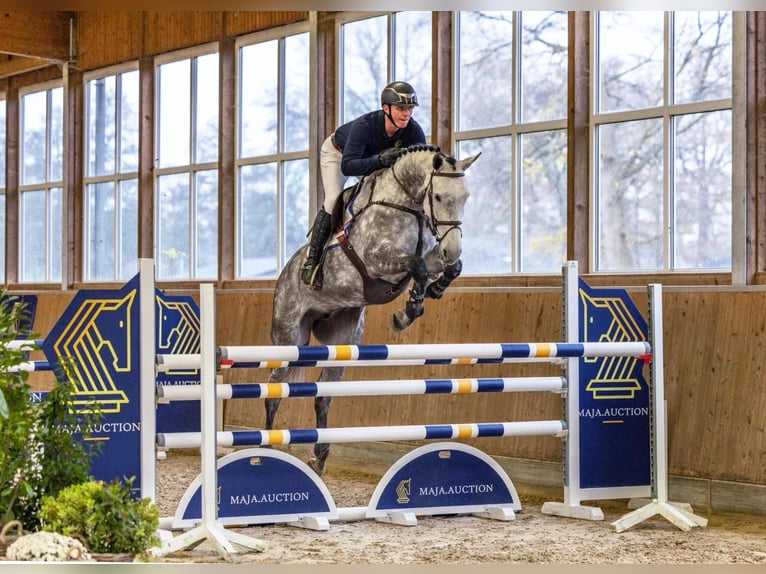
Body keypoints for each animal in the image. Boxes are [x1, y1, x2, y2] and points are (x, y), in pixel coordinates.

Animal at [265, 144, 481, 474]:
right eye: (439, 197)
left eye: (466, 197)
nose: (452, 248)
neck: (406, 204)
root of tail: (284, 276)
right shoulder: (378, 261)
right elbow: (416, 266)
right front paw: (407, 312)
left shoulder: (430, 256)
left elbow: (449, 267)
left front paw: (430, 292)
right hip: (289, 338)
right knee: (274, 391)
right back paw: (264, 448)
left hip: (341, 342)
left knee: (323, 396)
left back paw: (319, 456)